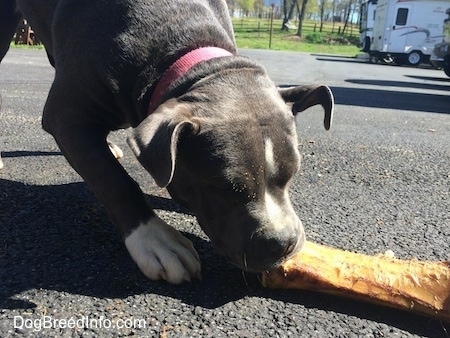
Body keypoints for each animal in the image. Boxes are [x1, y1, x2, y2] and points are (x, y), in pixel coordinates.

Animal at [0, 0, 334, 284]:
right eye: (224, 187)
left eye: (293, 175)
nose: (282, 242)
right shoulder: (65, 119)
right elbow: (114, 180)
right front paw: (154, 238)